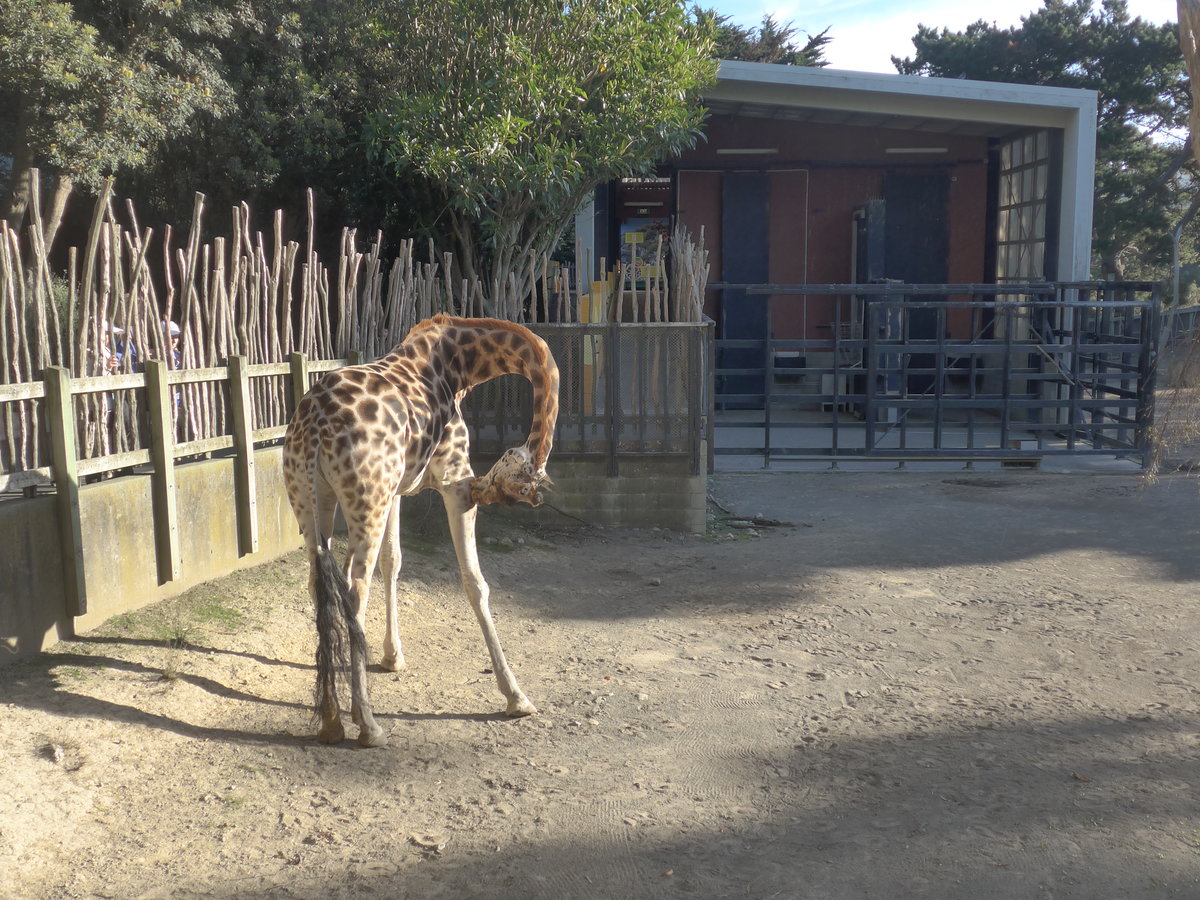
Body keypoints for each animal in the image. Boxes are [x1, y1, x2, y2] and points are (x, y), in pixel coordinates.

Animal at [282, 314, 560, 747]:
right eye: (515, 481)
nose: (483, 490)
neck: (459, 364)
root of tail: (313, 425)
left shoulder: (397, 491)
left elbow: (393, 562)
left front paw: (392, 657)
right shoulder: (454, 482)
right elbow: (475, 583)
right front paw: (516, 697)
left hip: (315, 501)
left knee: (321, 585)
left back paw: (330, 721)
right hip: (366, 500)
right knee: (354, 588)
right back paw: (367, 724)